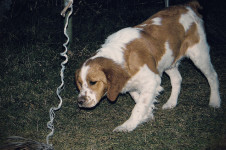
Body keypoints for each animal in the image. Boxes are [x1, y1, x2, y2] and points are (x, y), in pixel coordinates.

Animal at [75, 1, 221, 132]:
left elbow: (138, 106)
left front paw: (128, 125)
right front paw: (147, 114)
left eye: (93, 82)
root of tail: (188, 6)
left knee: (212, 76)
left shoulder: (152, 80)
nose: (80, 102)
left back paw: (215, 101)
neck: (123, 59)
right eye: (80, 84)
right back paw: (171, 103)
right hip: (168, 61)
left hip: (199, 55)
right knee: (177, 79)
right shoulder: (131, 83)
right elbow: (138, 99)